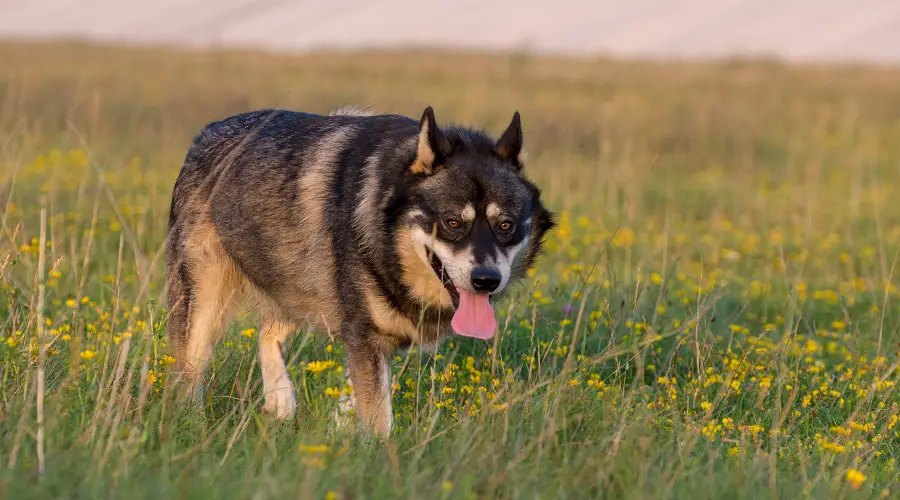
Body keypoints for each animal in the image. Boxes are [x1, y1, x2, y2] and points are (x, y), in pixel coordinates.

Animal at [165, 105, 552, 438]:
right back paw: (191, 423)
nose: (486, 280)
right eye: (453, 222)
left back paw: (281, 398)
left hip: (302, 279)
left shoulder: (366, 333)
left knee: (270, 329)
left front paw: (341, 419)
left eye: (506, 225)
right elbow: (379, 417)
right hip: (205, 299)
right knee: (190, 370)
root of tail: (209, 131)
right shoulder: (366, 334)